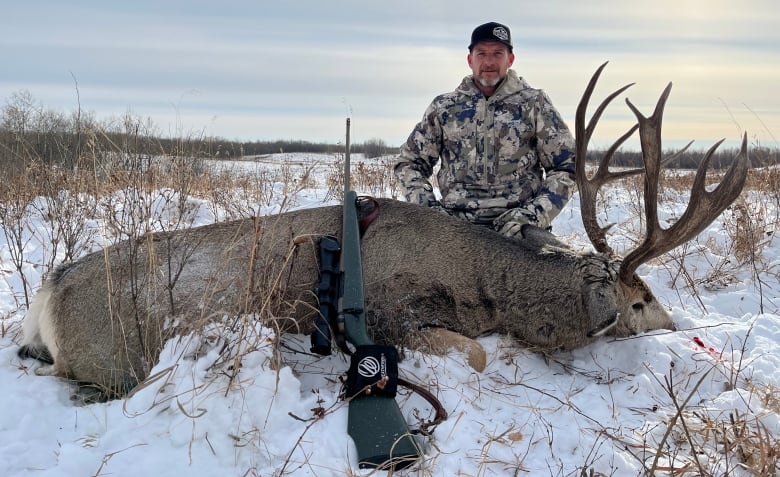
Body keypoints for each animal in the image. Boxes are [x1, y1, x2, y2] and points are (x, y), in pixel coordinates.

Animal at [18, 63, 748, 398]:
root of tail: (47, 292)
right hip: (112, 351)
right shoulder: (400, 314)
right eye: (641, 299)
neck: (480, 282)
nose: (683, 328)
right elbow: (477, 353)